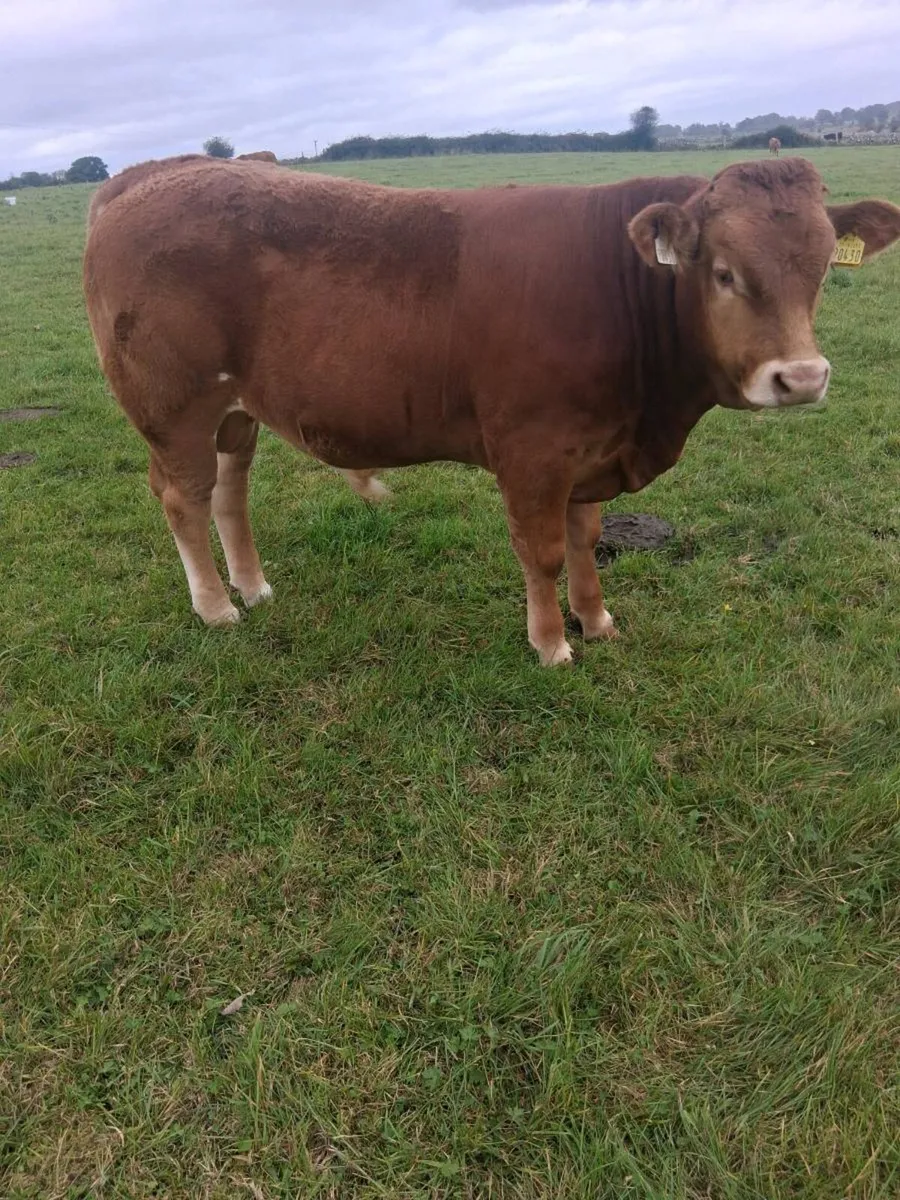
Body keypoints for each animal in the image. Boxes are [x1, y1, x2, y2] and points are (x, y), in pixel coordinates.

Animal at [83, 156, 900, 664]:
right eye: (724, 272)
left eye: (822, 269)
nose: (802, 377)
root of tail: (144, 178)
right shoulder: (534, 452)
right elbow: (542, 550)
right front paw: (551, 644)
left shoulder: (592, 449)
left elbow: (584, 539)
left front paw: (596, 620)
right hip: (175, 408)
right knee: (183, 499)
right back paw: (215, 607)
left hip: (235, 412)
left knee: (230, 492)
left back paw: (252, 588)